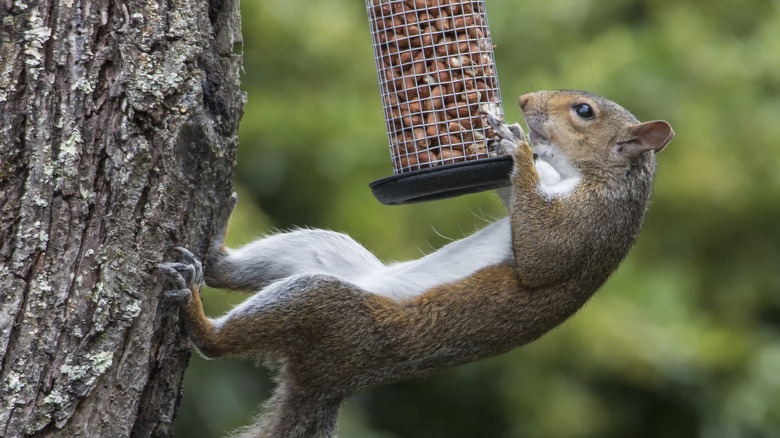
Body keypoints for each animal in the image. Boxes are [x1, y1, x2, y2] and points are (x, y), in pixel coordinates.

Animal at [157, 90, 672, 438]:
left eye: (584, 111)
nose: (525, 99)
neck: (588, 176)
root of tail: (328, 381)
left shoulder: (588, 226)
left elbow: (540, 257)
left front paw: (517, 146)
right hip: (323, 252)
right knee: (229, 270)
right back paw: (214, 244)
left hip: (329, 310)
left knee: (219, 343)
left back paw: (195, 310)